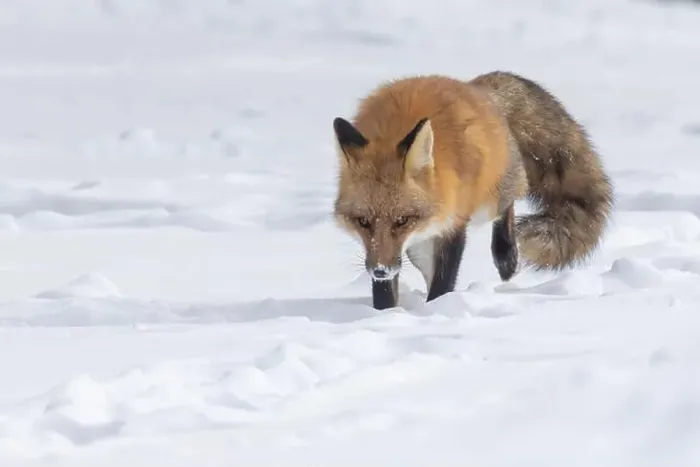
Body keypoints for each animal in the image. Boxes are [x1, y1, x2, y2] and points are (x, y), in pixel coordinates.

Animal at [332, 71, 614, 310]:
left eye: (402, 220)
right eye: (362, 221)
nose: (380, 270)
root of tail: (474, 87)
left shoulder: (453, 223)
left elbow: (443, 282)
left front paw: (436, 310)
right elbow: (386, 293)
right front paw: (386, 314)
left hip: (488, 203)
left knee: (509, 204)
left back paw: (506, 255)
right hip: (417, 247)